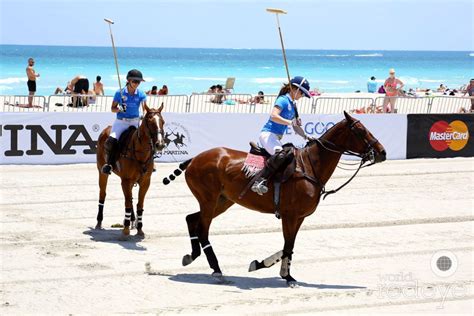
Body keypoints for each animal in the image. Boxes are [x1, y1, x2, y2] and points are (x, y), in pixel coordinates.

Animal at [95, 102, 166, 238]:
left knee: (131, 198)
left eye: (163, 122)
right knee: (103, 193)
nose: (160, 144)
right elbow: (127, 203)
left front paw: (139, 228)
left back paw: (133, 221)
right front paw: (126, 229)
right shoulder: (126, 180)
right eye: (150, 122)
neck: (140, 152)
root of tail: (105, 130)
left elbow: (139, 204)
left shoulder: (145, 182)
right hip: (102, 171)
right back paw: (99, 222)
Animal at [162, 111, 386, 286]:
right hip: (209, 199)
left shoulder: (300, 217)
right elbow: (287, 246)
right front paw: (287, 276)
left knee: (191, 218)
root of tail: (195, 158)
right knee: (202, 230)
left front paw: (265, 266)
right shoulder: (290, 215)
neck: (310, 166)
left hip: (223, 200)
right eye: (360, 130)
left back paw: (191, 256)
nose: (382, 153)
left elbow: (290, 246)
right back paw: (216, 269)